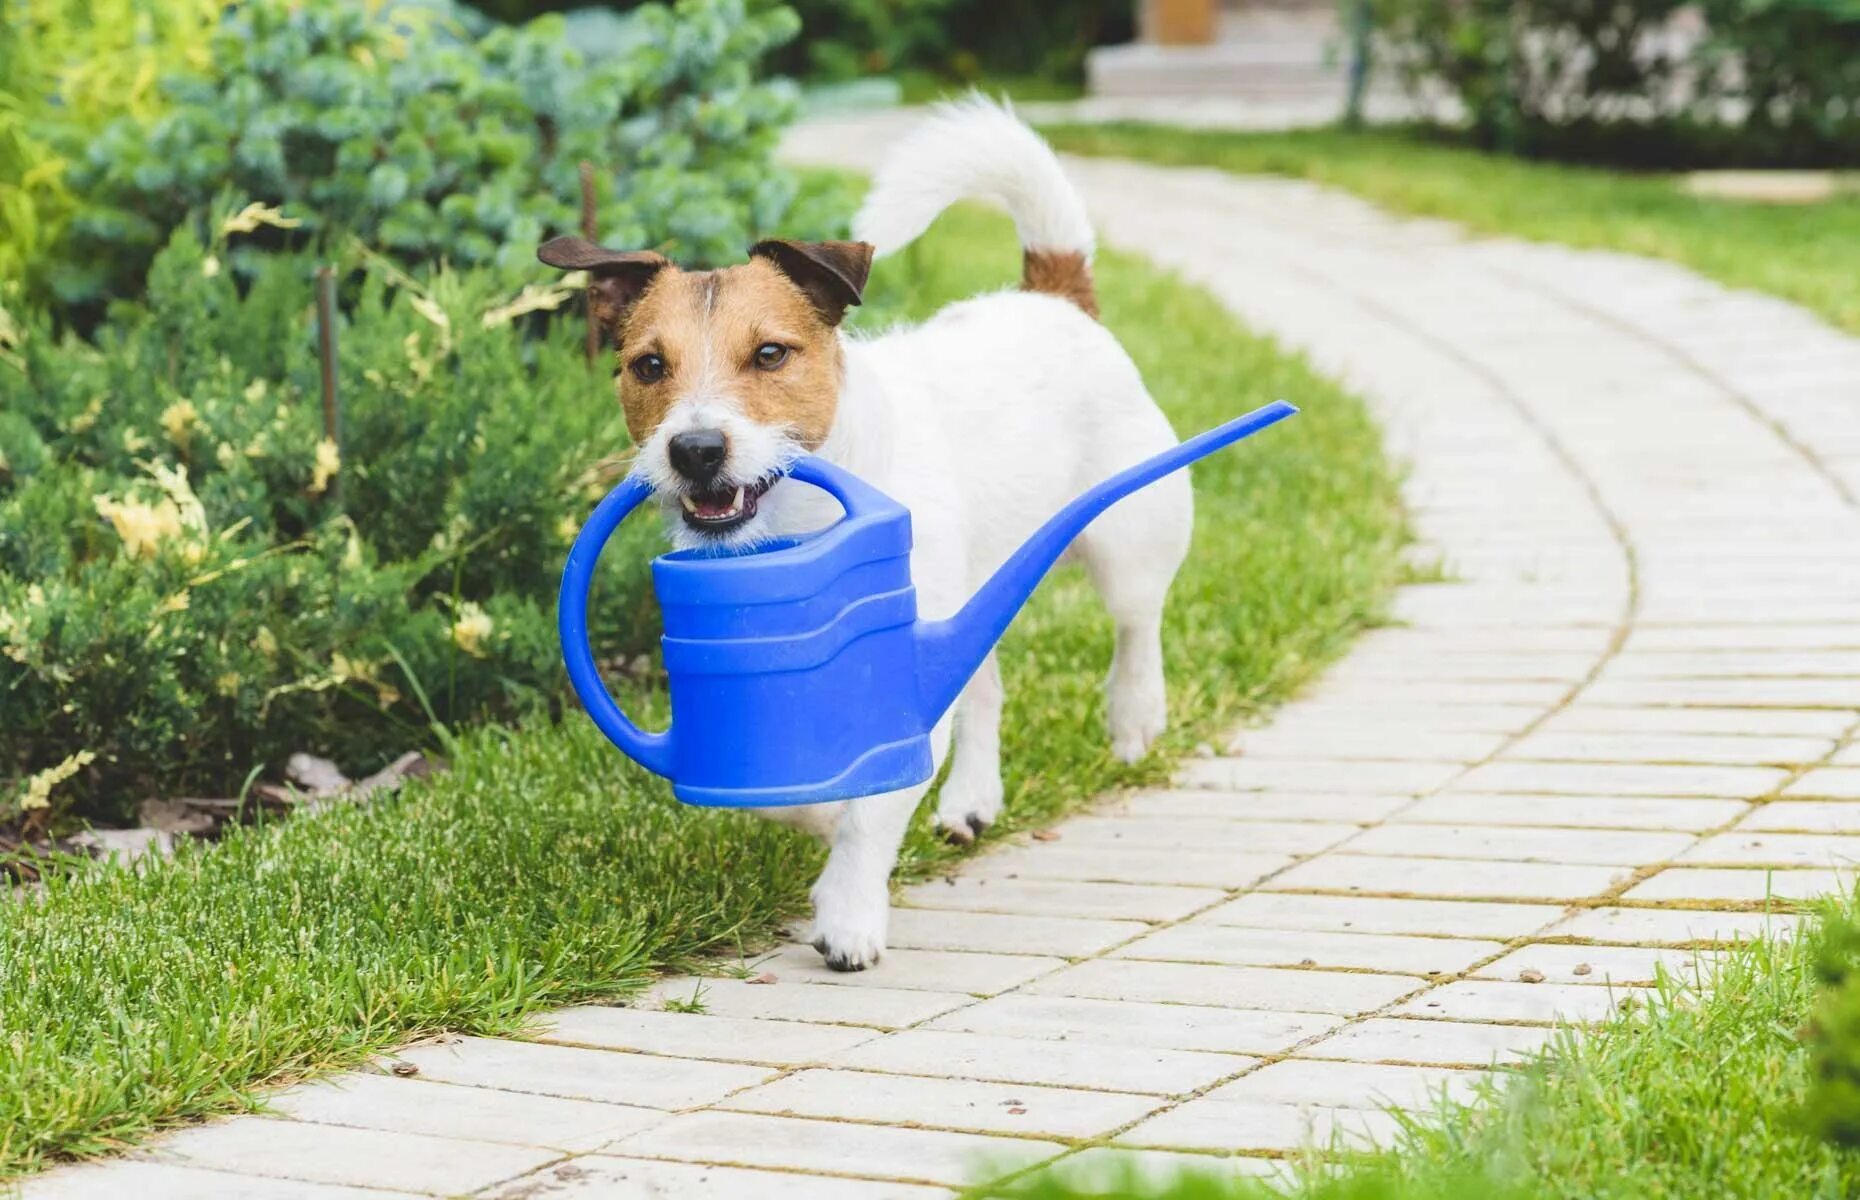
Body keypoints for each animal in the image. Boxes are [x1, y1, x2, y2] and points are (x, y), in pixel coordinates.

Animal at [539, 98, 1190, 967]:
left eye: (769, 353)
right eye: (649, 365)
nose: (695, 449)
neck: (798, 521)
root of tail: (1054, 296)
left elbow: (872, 810)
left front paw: (848, 911)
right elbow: (803, 789)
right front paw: (818, 812)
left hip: (1127, 538)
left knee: (1136, 621)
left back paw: (1133, 716)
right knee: (986, 684)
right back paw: (973, 797)